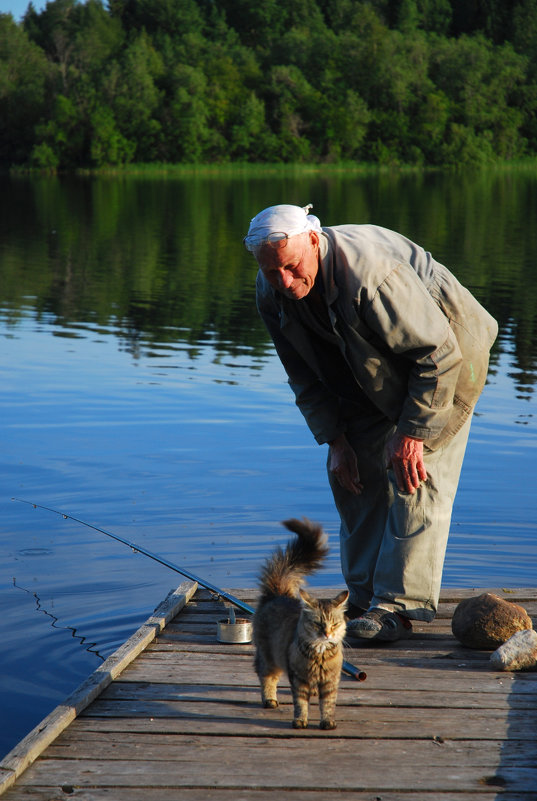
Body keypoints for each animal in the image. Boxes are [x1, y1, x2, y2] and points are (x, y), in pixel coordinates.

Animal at [253, 516, 350, 728]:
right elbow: (301, 703)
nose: (327, 633)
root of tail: (277, 594)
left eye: (334, 624)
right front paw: (300, 721)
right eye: (318, 624)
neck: (320, 654)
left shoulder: (330, 681)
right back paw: (269, 700)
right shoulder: (298, 679)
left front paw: (327, 722)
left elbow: (327, 704)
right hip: (269, 657)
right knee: (267, 677)